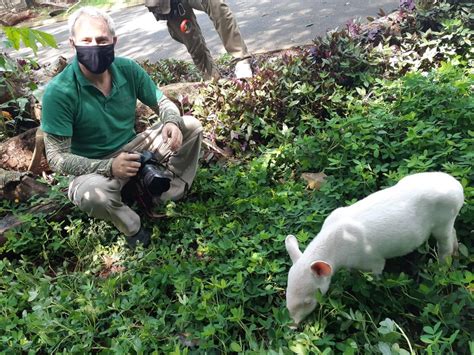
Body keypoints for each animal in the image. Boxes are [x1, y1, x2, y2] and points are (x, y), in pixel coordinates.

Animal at [286, 172, 462, 326]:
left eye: (307, 301)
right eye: (287, 292)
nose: (293, 326)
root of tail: (459, 188)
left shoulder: (374, 260)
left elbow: (375, 276)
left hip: (444, 221)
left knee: (445, 245)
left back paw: (440, 269)